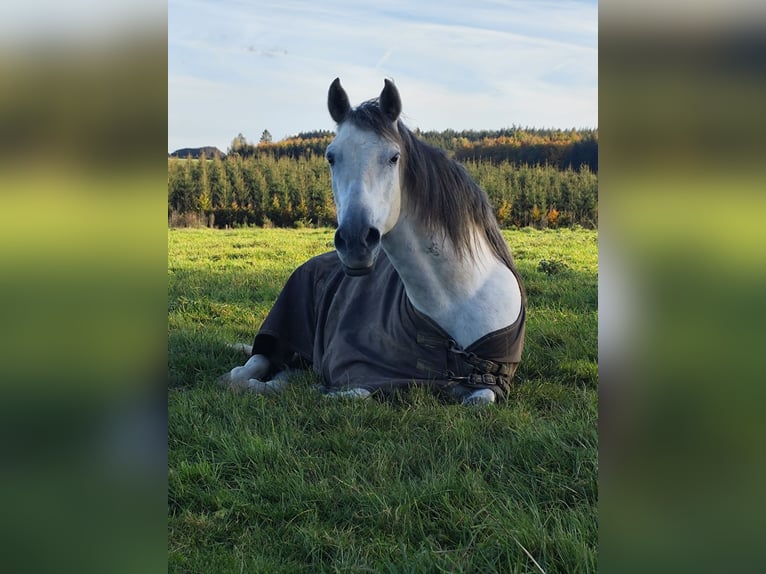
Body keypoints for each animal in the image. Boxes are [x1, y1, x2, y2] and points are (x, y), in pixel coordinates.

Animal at [219, 79, 524, 408]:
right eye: (331, 157)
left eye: (394, 157)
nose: (355, 241)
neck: (460, 297)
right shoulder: (363, 371)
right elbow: (354, 394)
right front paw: (312, 389)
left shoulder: (491, 382)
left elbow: (479, 401)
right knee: (246, 371)